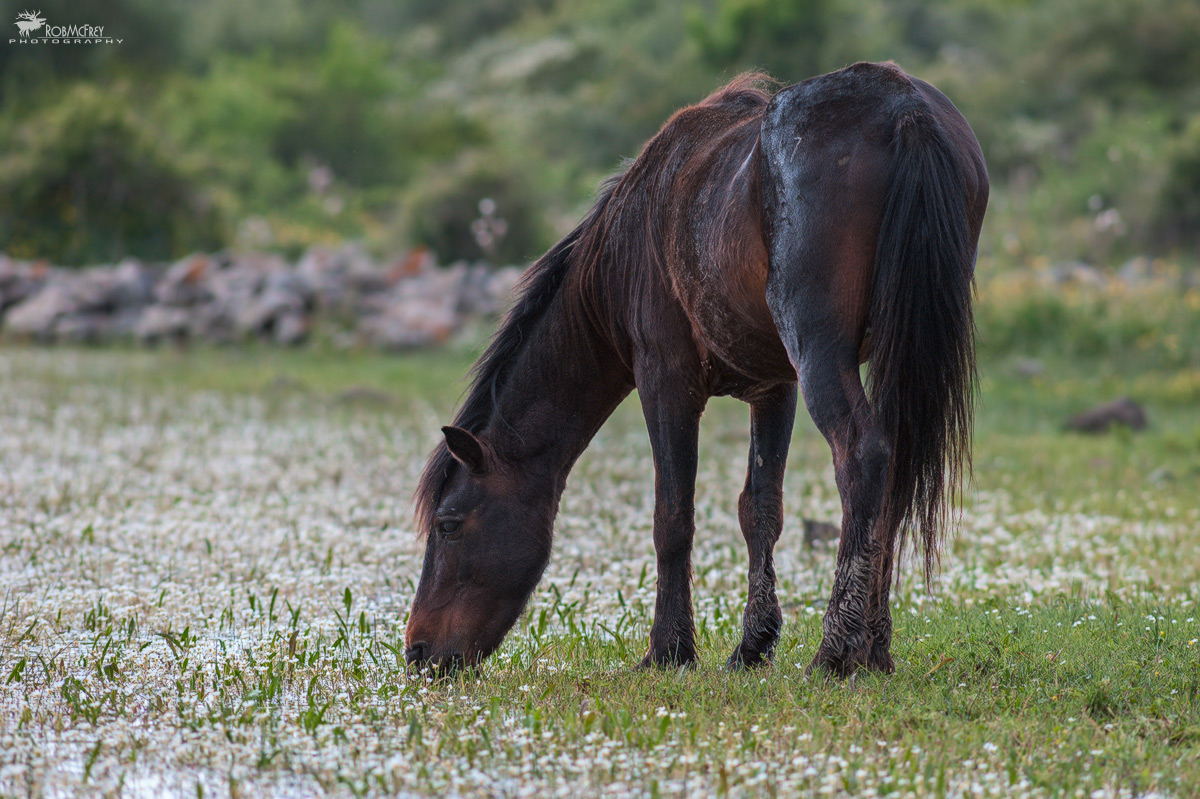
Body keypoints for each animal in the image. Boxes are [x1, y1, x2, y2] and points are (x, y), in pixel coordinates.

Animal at [406, 61, 988, 677]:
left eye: (447, 524)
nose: (417, 651)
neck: (621, 249)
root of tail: (904, 107)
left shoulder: (665, 381)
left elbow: (672, 516)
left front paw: (669, 649)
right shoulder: (775, 387)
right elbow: (760, 510)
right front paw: (752, 646)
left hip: (822, 351)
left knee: (862, 455)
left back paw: (835, 652)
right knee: (894, 471)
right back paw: (875, 649)